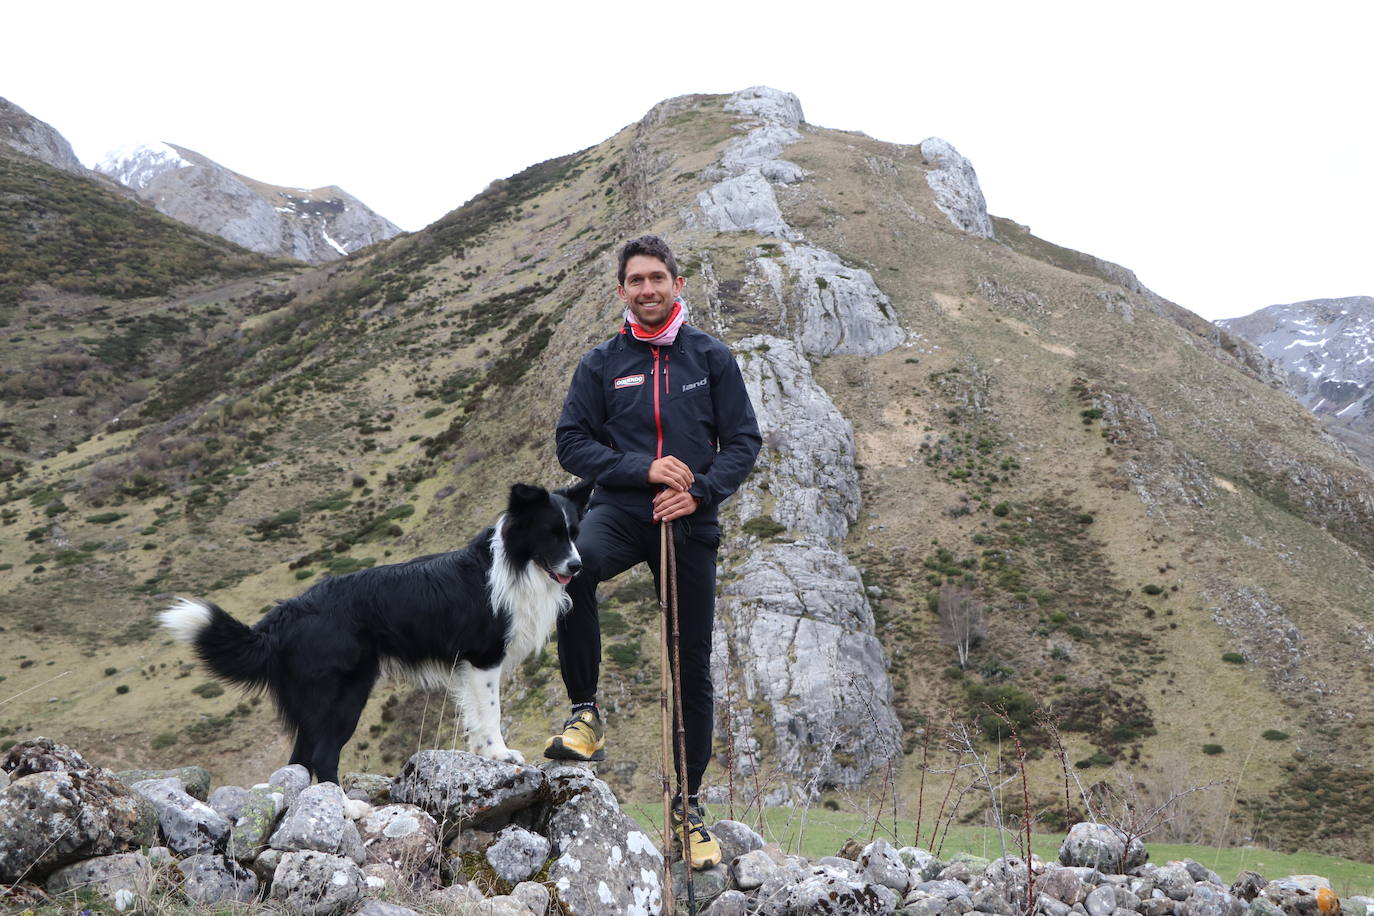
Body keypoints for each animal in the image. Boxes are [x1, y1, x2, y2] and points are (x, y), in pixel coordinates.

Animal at [160, 480, 590, 791]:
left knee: (300, 758)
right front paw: (500, 755)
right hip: (343, 695)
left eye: (573, 532)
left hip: (315, 703)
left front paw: (483, 754)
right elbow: (491, 713)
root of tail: (288, 612)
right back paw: (348, 809)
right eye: (550, 533)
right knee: (323, 755)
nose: (577, 566)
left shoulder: (470, 665)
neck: (516, 562)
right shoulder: (484, 658)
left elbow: (474, 716)